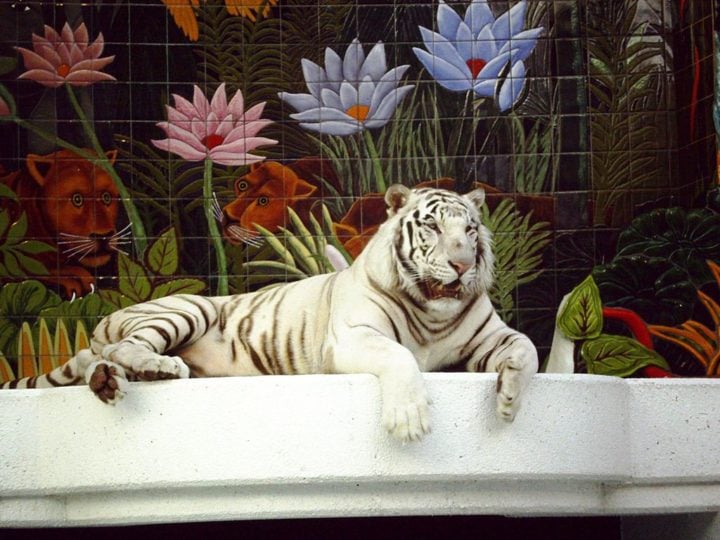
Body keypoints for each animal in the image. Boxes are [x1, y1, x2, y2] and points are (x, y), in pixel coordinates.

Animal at [1, 184, 538, 442]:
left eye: (470, 230)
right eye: (431, 228)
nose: (463, 264)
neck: (433, 312)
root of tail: (104, 319)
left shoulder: (490, 336)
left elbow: (528, 349)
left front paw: (510, 401)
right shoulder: (353, 337)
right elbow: (400, 357)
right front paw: (409, 419)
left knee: (101, 361)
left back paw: (110, 381)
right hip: (187, 308)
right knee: (125, 346)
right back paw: (157, 367)